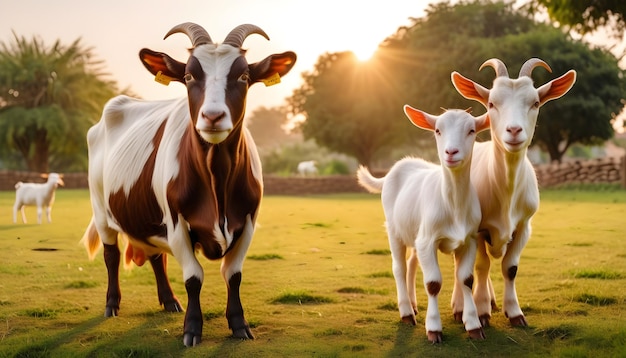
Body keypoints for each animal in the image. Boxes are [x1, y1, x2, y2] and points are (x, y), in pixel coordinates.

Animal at [80, 23, 294, 346]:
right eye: (190, 76)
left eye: (243, 77)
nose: (212, 116)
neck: (217, 182)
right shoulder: (177, 222)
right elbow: (194, 277)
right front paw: (192, 328)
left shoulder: (247, 222)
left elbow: (233, 275)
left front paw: (239, 324)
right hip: (101, 210)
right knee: (111, 255)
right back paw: (112, 304)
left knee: (155, 255)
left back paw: (169, 301)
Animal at [356, 105, 488, 342]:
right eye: (437, 130)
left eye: (471, 130)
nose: (451, 152)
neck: (453, 203)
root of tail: (398, 166)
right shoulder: (428, 240)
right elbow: (433, 283)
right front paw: (434, 329)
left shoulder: (469, 239)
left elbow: (466, 279)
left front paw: (473, 326)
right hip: (394, 229)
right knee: (399, 267)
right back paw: (406, 312)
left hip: (416, 233)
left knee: (411, 264)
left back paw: (413, 304)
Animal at [448, 56, 576, 328]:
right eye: (491, 103)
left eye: (535, 103)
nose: (514, 131)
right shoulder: (476, 231)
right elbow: (481, 266)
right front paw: (481, 312)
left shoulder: (524, 226)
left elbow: (510, 268)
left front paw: (514, 312)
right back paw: (462, 304)